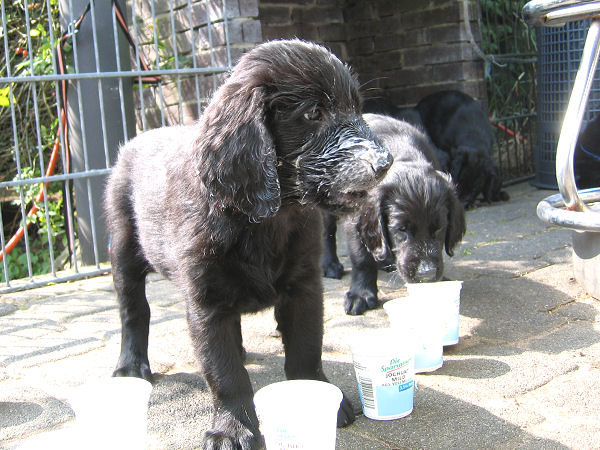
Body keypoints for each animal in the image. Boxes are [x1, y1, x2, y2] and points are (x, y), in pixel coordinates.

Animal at [104, 40, 392, 449]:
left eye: (356, 108)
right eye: (314, 113)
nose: (386, 162)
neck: (266, 218)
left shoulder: (305, 287)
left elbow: (306, 350)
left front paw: (322, 402)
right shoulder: (206, 302)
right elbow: (225, 375)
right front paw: (232, 428)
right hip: (124, 248)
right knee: (133, 311)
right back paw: (131, 366)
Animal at [322, 114, 466, 315]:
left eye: (439, 229)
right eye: (401, 229)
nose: (426, 274)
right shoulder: (355, 221)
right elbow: (361, 259)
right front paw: (360, 295)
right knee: (328, 232)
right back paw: (330, 265)